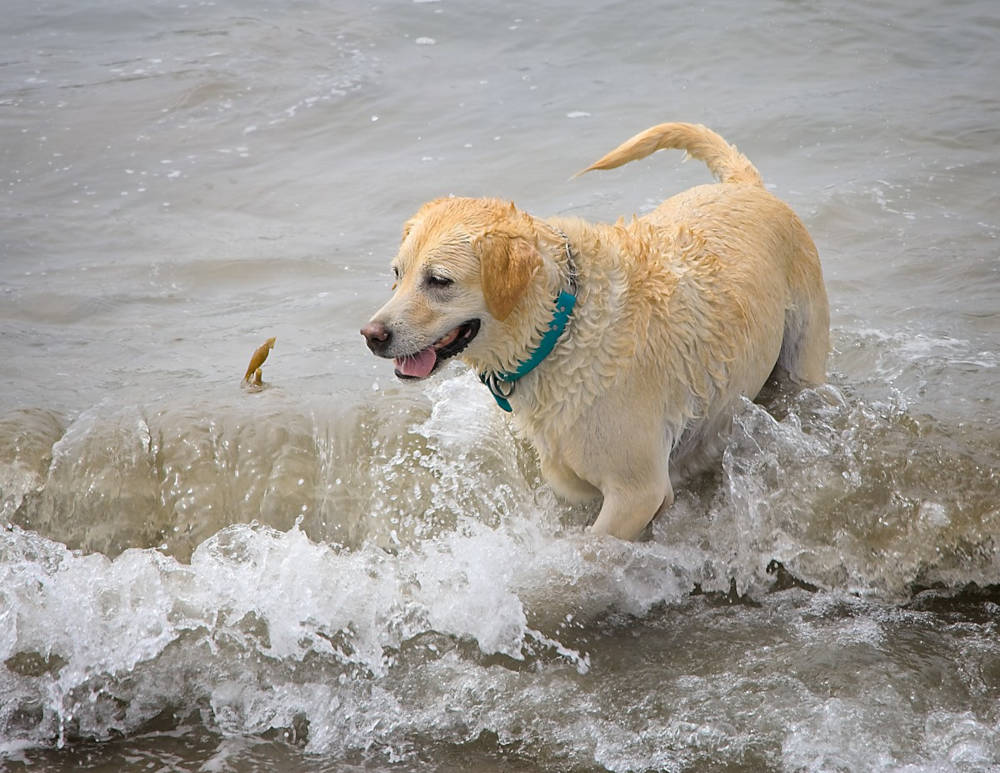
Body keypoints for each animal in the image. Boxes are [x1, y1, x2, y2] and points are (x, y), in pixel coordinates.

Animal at [360, 123, 828, 540]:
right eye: (398, 275)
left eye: (439, 281)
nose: (371, 334)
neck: (562, 325)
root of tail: (748, 187)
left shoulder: (636, 492)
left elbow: (591, 548)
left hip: (803, 354)